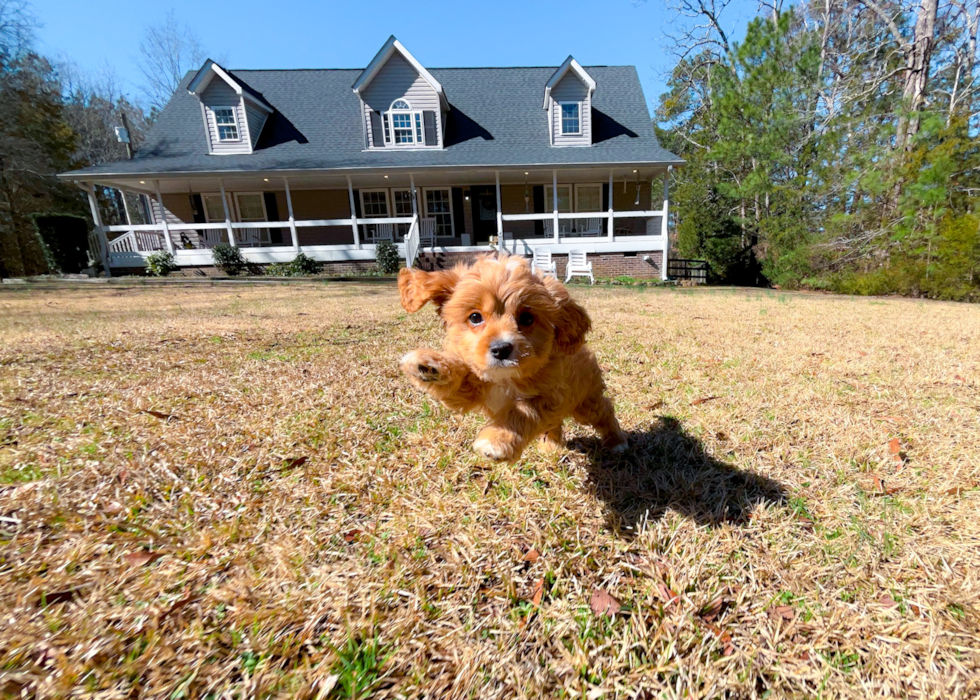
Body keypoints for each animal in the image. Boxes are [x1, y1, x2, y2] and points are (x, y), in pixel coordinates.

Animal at [398, 254, 628, 462]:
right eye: (475, 317)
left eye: (527, 318)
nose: (501, 349)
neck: (504, 378)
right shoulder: (473, 386)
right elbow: (459, 381)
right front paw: (428, 365)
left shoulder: (549, 396)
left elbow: (521, 411)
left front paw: (497, 441)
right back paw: (552, 445)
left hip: (585, 402)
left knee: (604, 412)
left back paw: (616, 442)